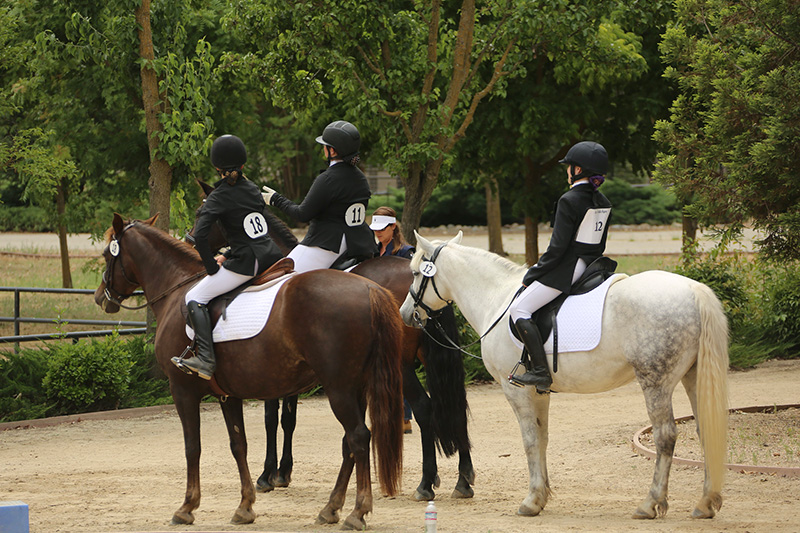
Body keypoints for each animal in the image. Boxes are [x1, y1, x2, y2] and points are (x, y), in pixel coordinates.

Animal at [94, 213, 404, 528]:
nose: (100, 298)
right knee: (349, 443)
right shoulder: (227, 395)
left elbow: (193, 446)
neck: (177, 289)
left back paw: (357, 512)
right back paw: (331, 508)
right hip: (357, 388)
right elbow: (238, 444)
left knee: (358, 437)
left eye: (107, 254)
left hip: (339, 388)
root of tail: (370, 288)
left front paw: (187, 507)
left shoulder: (182, 390)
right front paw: (245, 506)